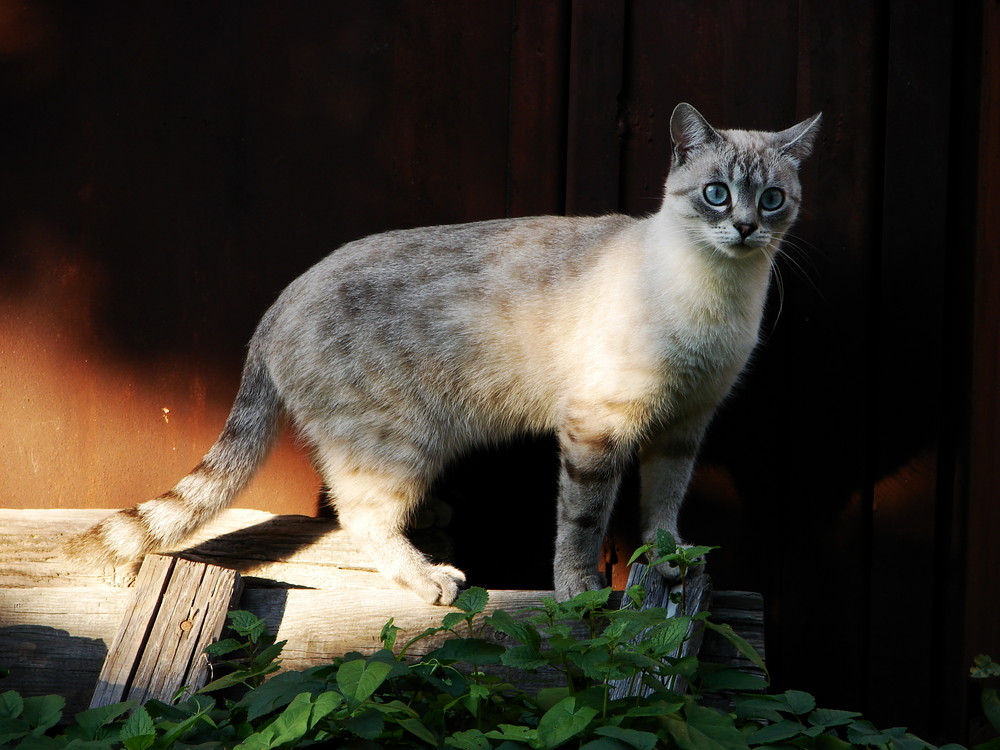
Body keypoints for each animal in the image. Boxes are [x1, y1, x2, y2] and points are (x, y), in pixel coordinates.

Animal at [68, 104, 820, 604]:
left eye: (772, 199)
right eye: (716, 194)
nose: (745, 228)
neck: (720, 296)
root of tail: (279, 302)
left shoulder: (683, 428)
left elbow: (663, 508)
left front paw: (671, 562)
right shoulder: (597, 428)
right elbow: (582, 525)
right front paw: (580, 592)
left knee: (348, 495)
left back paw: (430, 520)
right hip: (400, 440)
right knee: (359, 514)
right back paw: (427, 575)